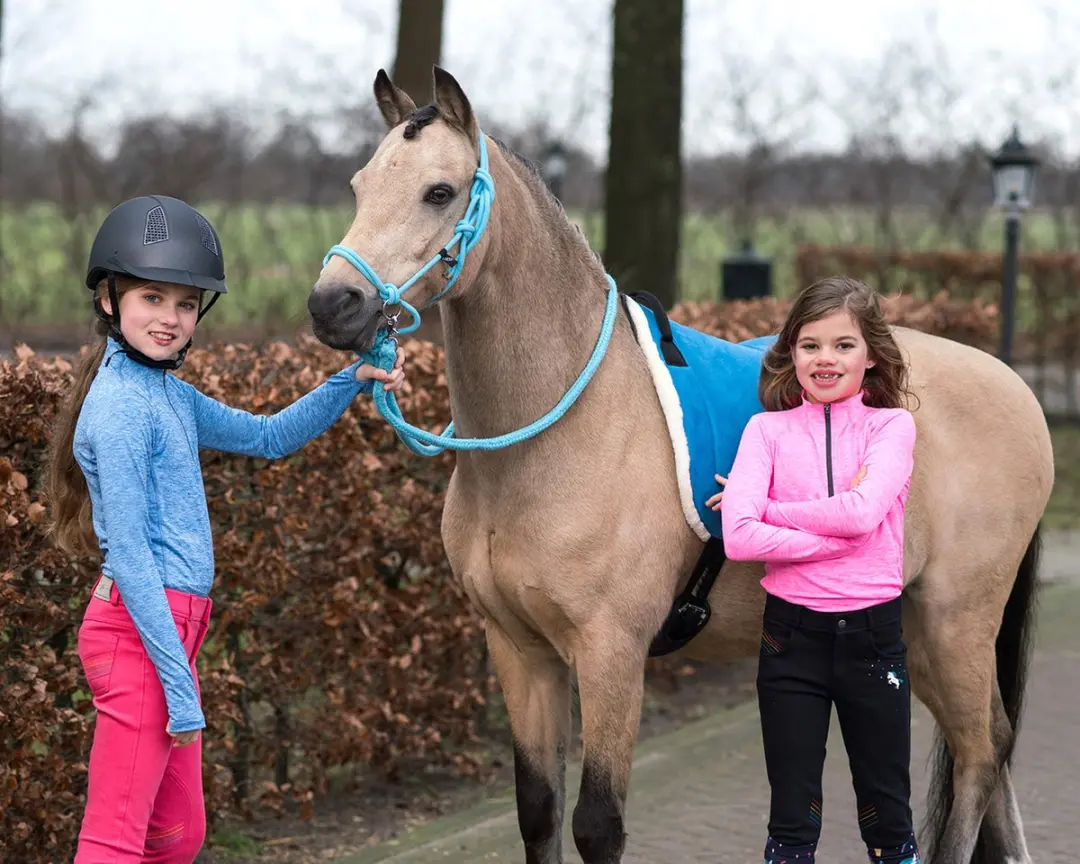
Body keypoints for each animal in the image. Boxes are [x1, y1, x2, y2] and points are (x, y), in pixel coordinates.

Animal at [306, 67, 1054, 864]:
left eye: (439, 191)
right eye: (360, 185)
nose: (332, 304)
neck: (559, 432)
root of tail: (1016, 387)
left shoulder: (610, 652)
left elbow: (597, 823)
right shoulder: (521, 650)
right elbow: (538, 809)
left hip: (955, 620)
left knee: (979, 753)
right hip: (916, 626)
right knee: (995, 746)